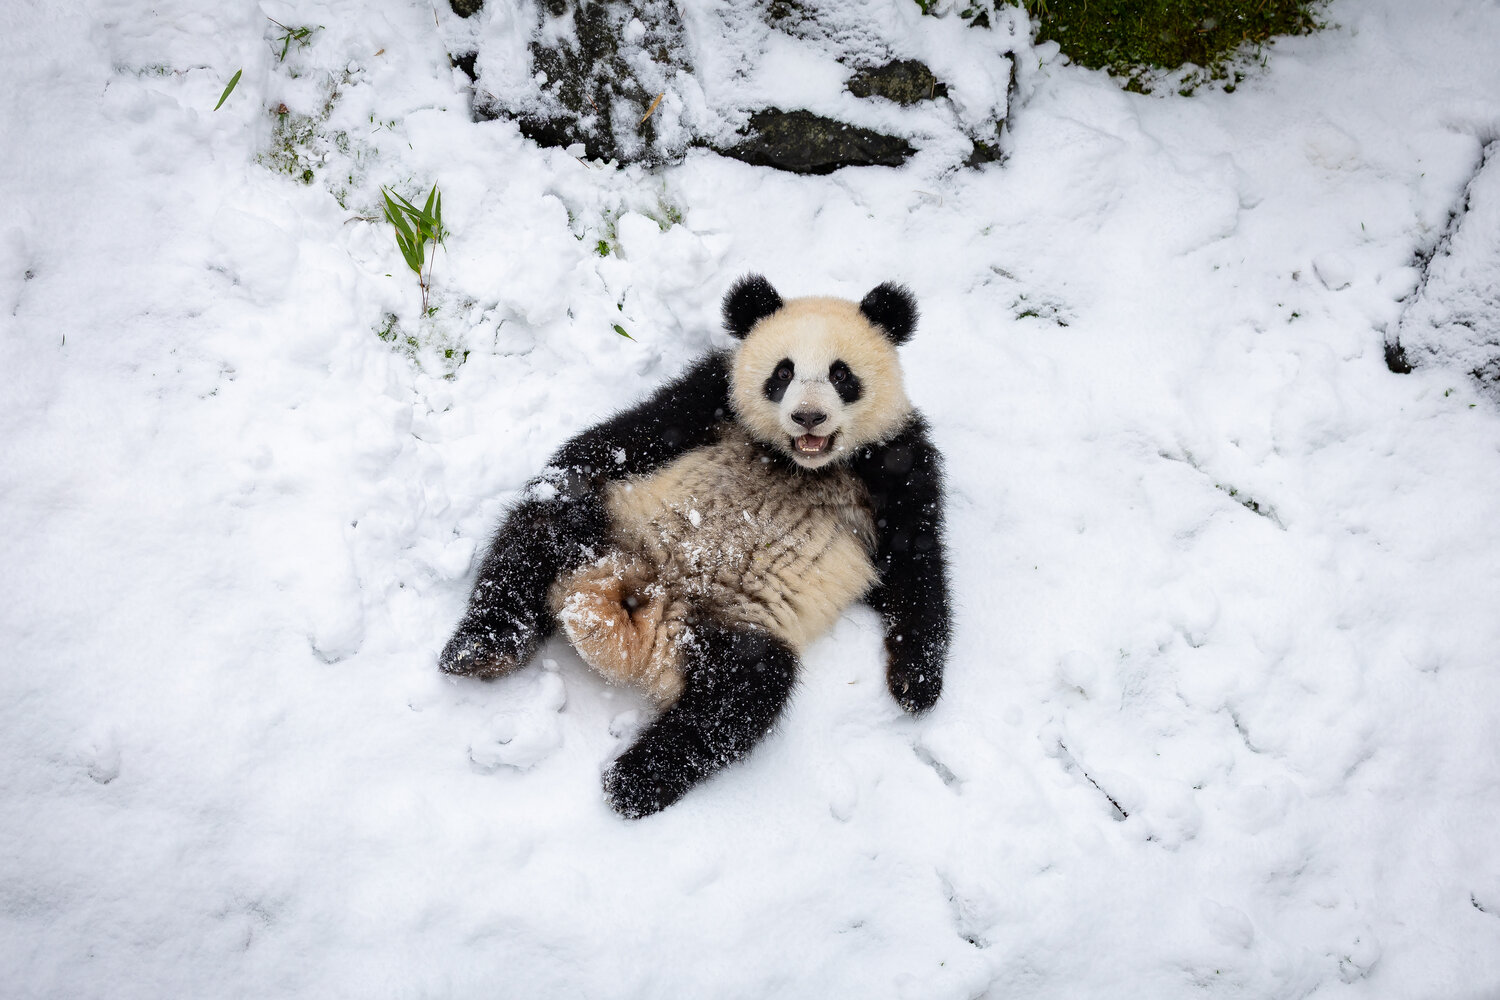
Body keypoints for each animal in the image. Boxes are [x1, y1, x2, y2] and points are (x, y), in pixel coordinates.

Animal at [440, 275, 951, 817]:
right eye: (783, 372)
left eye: (841, 375)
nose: (808, 417)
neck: (800, 463)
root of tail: (647, 610)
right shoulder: (709, 397)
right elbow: (622, 439)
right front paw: (561, 478)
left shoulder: (897, 458)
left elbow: (916, 561)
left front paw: (916, 684)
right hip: (605, 538)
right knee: (536, 538)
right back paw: (482, 650)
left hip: (729, 630)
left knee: (740, 695)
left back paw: (635, 780)